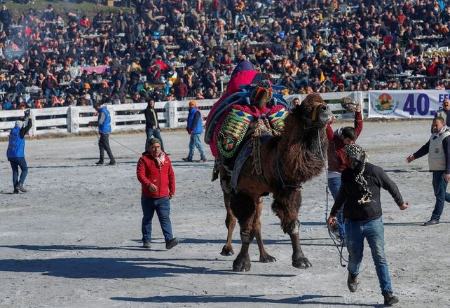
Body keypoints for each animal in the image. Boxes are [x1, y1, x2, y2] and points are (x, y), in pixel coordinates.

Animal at [220, 94, 332, 272]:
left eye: (322, 101)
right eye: (307, 108)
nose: (325, 108)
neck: (271, 158)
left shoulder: (288, 189)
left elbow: (293, 223)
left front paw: (300, 260)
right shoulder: (243, 193)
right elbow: (246, 229)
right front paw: (241, 263)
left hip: (258, 197)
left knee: (257, 223)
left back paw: (265, 256)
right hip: (228, 188)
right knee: (231, 219)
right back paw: (227, 249)